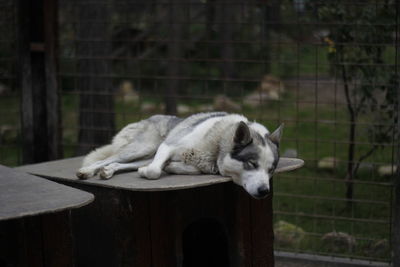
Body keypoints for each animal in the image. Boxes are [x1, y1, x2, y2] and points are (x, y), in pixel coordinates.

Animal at [76, 112, 282, 199]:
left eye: (271, 170)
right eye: (251, 164)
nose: (265, 191)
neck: (216, 144)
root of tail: (147, 118)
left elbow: (189, 169)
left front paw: (169, 167)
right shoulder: (168, 146)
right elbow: (154, 172)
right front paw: (151, 172)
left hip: (144, 155)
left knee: (119, 164)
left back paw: (108, 171)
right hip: (143, 148)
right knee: (108, 158)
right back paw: (86, 171)